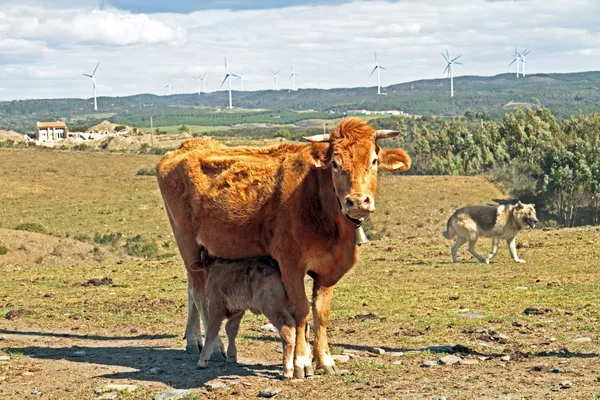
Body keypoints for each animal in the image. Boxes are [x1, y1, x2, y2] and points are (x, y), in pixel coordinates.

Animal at [191, 248, 296, 380]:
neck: (214, 267)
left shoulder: (216, 306)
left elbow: (211, 332)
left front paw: (202, 361)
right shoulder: (238, 309)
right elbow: (231, 328)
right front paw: (232, 356)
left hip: (272, 307)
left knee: (287, 327)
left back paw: (287, 370)